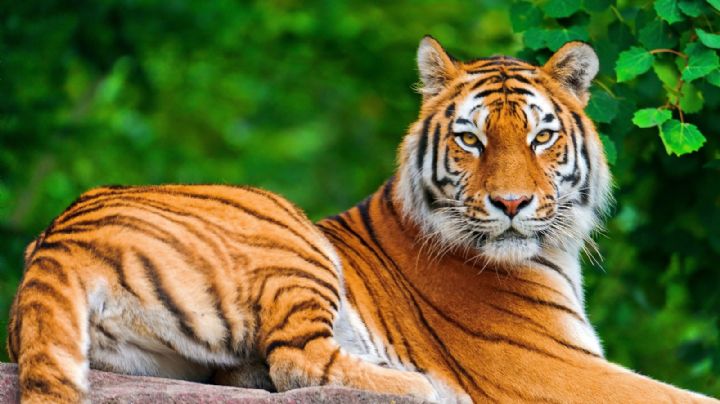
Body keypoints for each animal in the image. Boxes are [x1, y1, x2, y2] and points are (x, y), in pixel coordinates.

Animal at [7, 37, 717, 403]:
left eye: (541, 138)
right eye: (472, 140)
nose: (512, 205)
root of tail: (57, 240)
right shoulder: (550, 367)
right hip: (287, 232)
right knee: (297, 361)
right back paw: (419, 385)